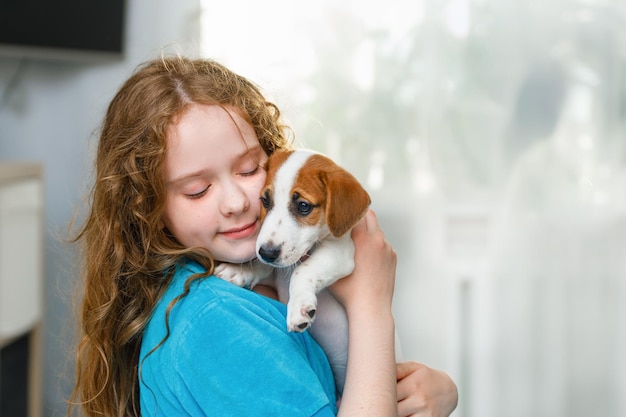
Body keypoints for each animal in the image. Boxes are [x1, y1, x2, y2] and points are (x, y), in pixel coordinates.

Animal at [213, 148, 370, 392]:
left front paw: (299, 307)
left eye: (304, 206)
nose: (267, 253)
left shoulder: (341, 250)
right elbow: (265, 266)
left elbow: (302, 270)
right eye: (265, 200)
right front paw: (237, 270)